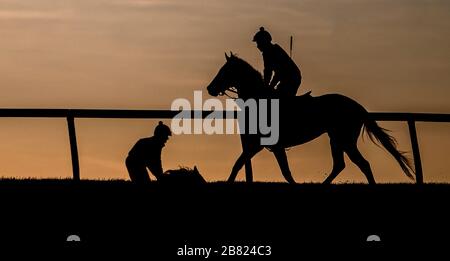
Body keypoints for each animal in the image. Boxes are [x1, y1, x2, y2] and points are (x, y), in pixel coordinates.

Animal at [207, 52, 414, 183]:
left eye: (224, 71)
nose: (210, 88)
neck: (260, 100)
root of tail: (357, 106)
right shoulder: (262, 145)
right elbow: (240, 165)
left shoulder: (267, 145)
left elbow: (284, 172)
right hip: (336, 139)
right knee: (340, 165)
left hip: (344, 139)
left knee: (362, 164)